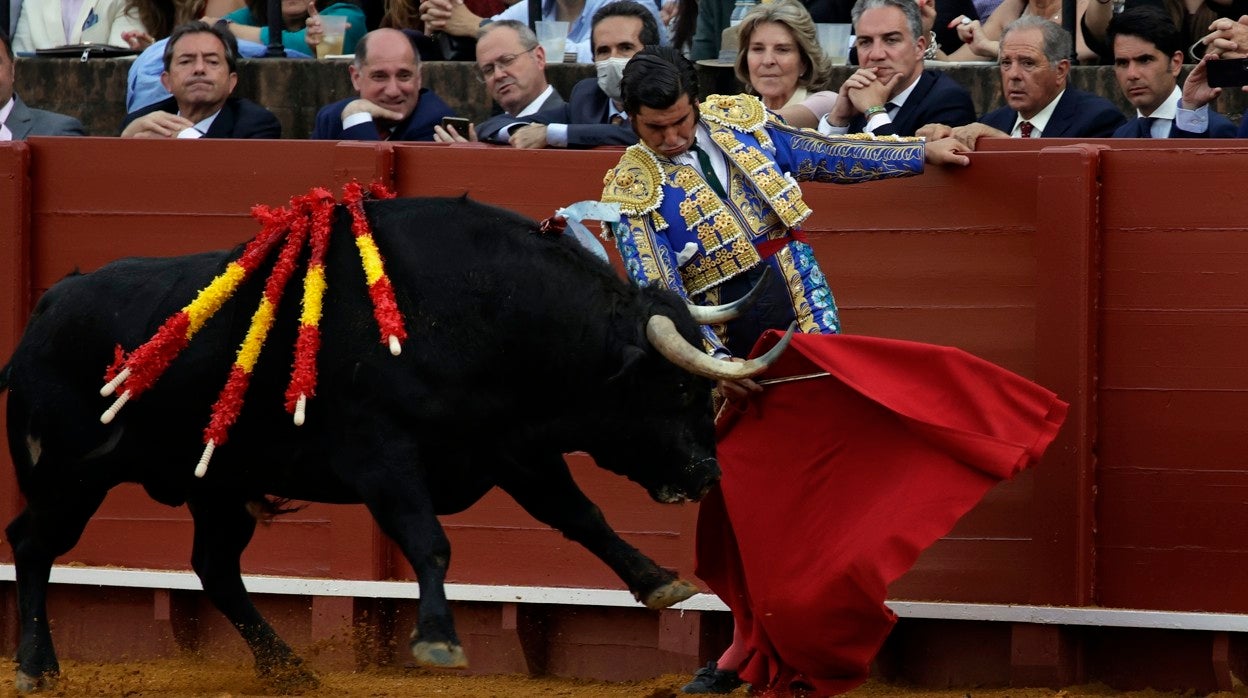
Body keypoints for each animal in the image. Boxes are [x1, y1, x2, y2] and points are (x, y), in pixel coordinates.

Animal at [0, 197, 783, 694]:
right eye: (674, 389)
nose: (706, 472)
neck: (480, 312)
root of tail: (47, 308)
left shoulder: (511, 448)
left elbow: (580, 516)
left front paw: (659, 581)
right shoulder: (383, 457)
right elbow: (429, 541)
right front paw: (437, 640)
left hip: (217, 485)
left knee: (215, 568)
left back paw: (289, 670)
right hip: (70, 474)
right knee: (34, 544)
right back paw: (38, 667)